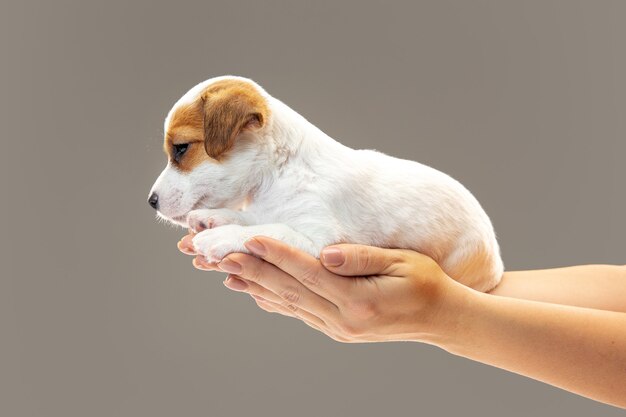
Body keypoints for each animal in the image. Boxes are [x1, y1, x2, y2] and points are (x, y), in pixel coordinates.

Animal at [149, 75, 504, 290]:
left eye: (181, 148)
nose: (150, 202)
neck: (279, 173)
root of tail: (497, 266)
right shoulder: (269, 209)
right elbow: (257, 219)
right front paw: (216, 218)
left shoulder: (319, 239)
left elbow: (268, 230)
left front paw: (220, 237)